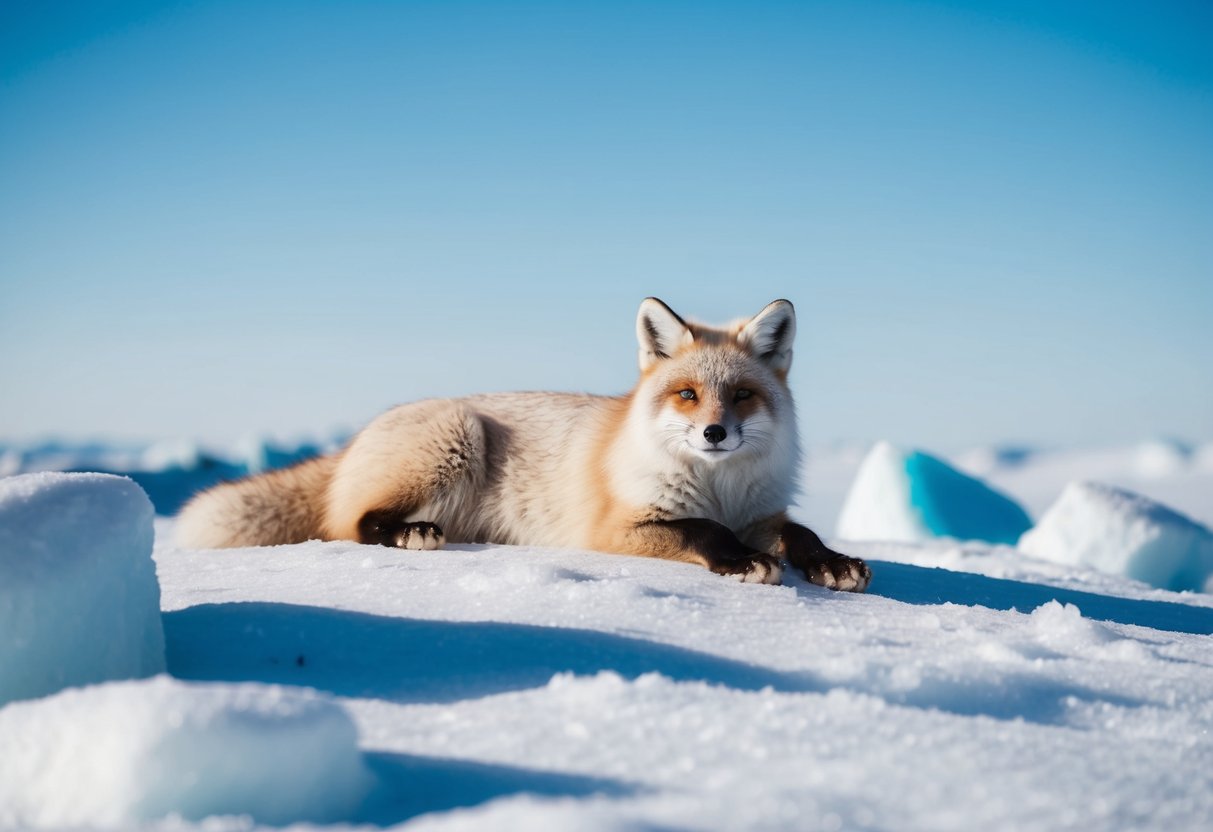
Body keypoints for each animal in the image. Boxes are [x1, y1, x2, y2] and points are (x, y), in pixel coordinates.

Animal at [176, 298, 871, 591]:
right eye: (687, 394)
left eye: (742, 396)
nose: (714, 433)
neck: (718, 487)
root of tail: (350, 443)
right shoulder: (617, 528)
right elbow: (704, 531)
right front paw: (740, 563)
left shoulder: (760, 512)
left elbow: (800, 532)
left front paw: (833, 562)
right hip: (455, 436)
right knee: (352, 524)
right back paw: (411, 533)